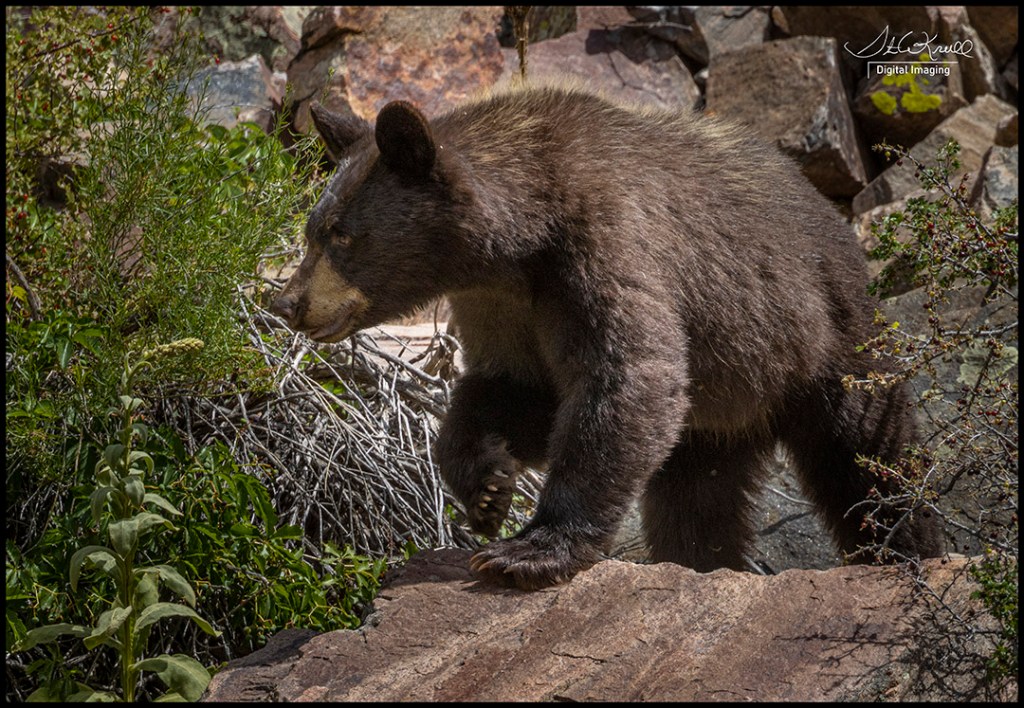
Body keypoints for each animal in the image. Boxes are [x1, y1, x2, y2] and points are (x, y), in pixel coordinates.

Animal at [271, 80, 943, 590]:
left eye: (342, 234)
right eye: (313, 228)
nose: (288, 303)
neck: (520, 240)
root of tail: (838, 223)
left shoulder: (606, 245)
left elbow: (625, 378)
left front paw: (528, 550)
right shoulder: (503, 306)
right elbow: (516, 390)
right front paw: (486, 487)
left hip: (822, 336)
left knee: (869, 453)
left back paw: (907, 548)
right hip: (718, 411)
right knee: (695, 501)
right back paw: (703, 564)